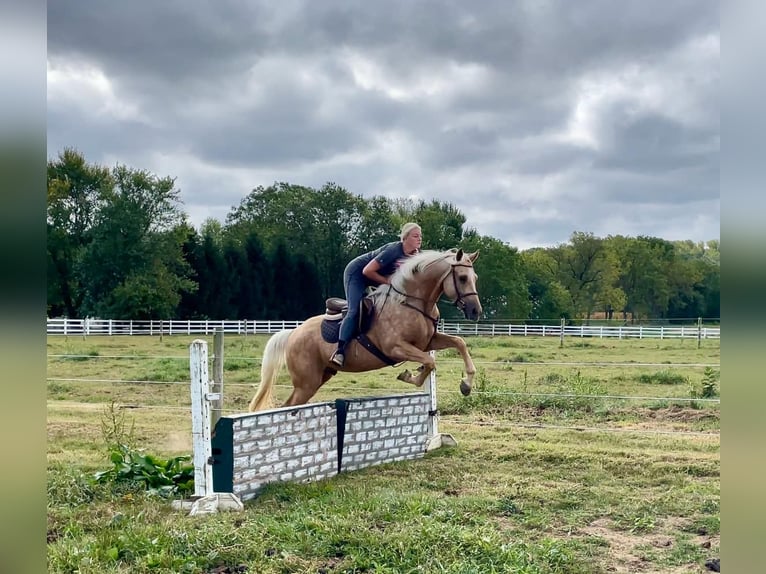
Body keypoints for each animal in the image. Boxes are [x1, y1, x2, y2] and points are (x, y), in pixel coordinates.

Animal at [249, 250, 484, 412]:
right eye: (462, 278)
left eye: (475, 279)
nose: (476, 311)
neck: (412, 302)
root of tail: (292, 333)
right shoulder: (396, 348)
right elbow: (429, 361)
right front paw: (411, 376)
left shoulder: (429, 341)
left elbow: (459, 343)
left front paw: (466, 385)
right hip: (306, 383)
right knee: (289, 406)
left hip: (320, 377)